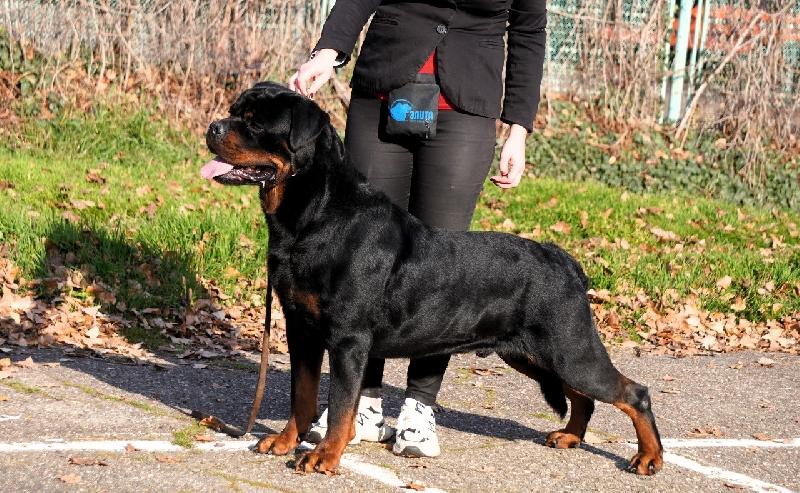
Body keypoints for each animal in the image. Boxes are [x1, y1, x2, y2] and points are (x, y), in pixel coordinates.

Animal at [201, 82, 664, 476]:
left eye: (257, 123)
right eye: (236, 112)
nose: (213, 126)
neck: (314, 216)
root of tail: (565, 259)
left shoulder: (348, 338)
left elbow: (341, 404)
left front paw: (325, 456)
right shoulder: (302, 328)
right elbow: (303, 393)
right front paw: (285, 441)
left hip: (568, 347)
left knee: (631, 392)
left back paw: (648, 457)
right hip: (535, 354)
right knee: (582, 394)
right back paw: (570, 436)